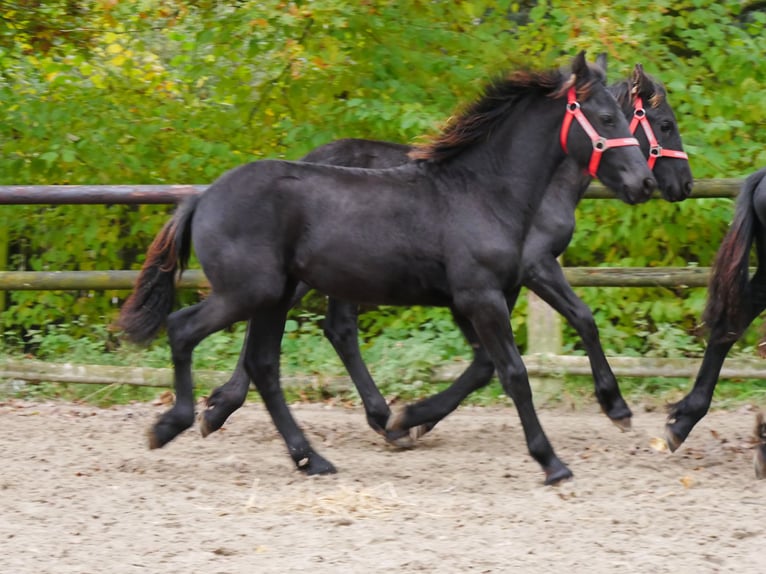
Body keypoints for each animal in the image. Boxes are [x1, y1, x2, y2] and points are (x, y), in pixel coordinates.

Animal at [118, 53, 656, 486]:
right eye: (606, 116)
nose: (646, 183)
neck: (481, 192)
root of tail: (205, 196)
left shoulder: (474, 300)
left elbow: (489, 367)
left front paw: (406, 419)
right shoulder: (481, 297)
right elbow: (514, 374)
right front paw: (552, 462)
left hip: (274, 295)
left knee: (264, 365)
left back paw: (310, 458)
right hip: (249, 292)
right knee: (183, 329)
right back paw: (171, 425)